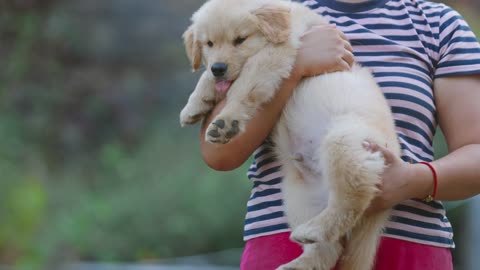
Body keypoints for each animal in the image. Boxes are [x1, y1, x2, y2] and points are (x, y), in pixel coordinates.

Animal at [178, 0, 400, 270]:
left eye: (240, 40)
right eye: (208, 44)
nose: (219, 68)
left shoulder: (276, 54)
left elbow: (243, 84)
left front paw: (227, 120)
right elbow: (206, 77)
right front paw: (194, 105)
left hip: (345, 142)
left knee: (354, 196)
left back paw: (316, 229)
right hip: (297, 195)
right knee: (330, 249)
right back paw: (300, 261)